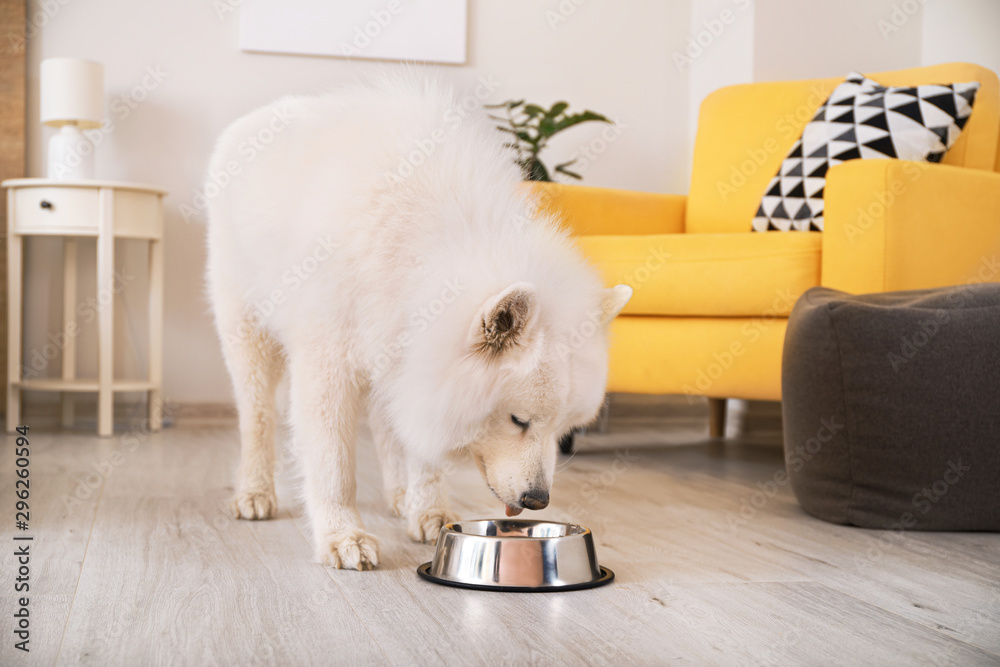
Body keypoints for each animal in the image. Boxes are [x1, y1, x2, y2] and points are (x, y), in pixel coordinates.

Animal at [205, 74, 632, 568]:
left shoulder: (418, 358)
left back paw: (399, 495)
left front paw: (427, 511)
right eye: (518, 420)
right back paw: (254, 491)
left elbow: (421, 445)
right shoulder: (329, 364)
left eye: (563, 429)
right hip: (246, 330)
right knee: (256, 417)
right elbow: (333, 463)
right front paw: (343, 535)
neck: (425, 247)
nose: (538, 500)